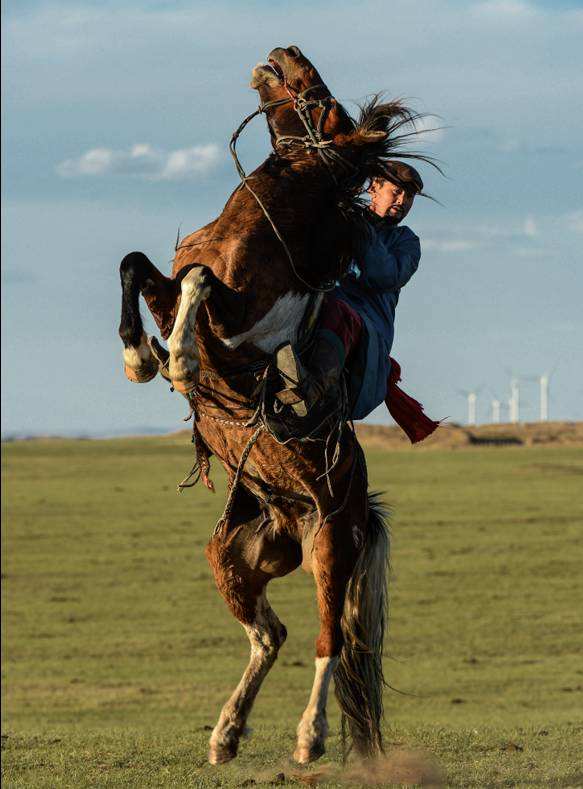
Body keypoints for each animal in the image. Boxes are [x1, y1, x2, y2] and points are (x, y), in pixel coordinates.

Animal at [117, 46, 424, 768]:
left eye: (325, 98)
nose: (283, 52)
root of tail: (354, 507)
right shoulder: (169, 289)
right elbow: (140, 265)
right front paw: (140, 356)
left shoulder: (238, 328)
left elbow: (199, 285)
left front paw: (175, 362)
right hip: (234, 557)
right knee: (270, 635)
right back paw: (225, 734)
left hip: (331, 551)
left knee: (326, 641)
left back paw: (309, 738)